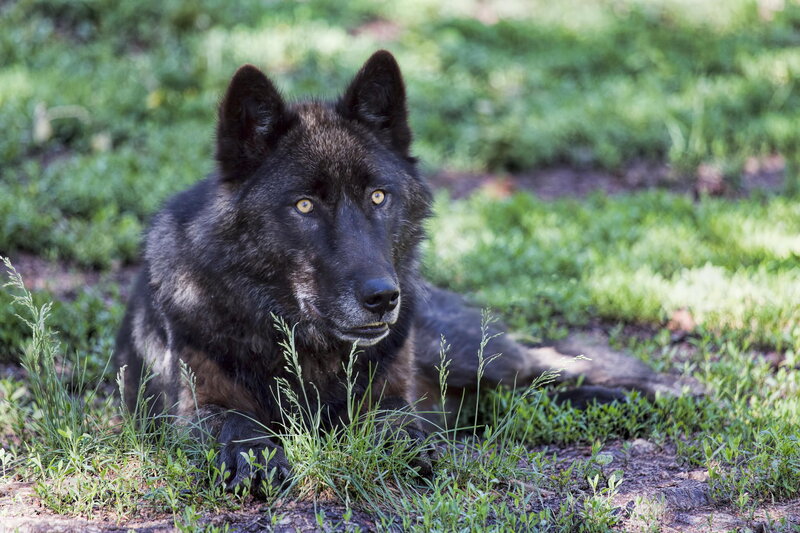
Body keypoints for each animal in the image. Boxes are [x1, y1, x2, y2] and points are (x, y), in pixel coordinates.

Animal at [115, 50, 690, 489]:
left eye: (378, 196)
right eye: (304, 206)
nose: (382, 297)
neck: (310, 354)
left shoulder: (392, 396)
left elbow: (397, 424)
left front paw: (408, 452)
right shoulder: (196, 409)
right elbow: (236, 427)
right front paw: (255, 456)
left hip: (467, 356)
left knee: (543, 369)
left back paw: (650, 395)